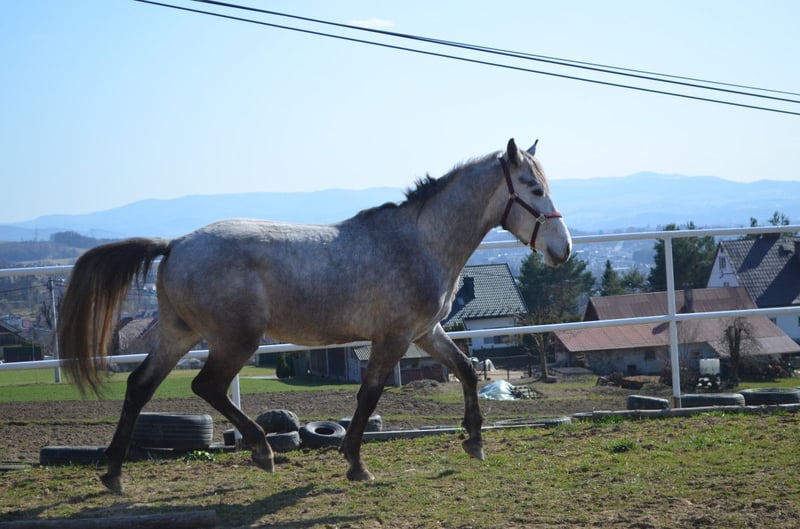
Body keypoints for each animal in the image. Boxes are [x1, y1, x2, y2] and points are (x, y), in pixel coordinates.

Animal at [57, 138, 572, 493]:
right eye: (534, 188)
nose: (562, 250)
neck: (421, 241)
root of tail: (176, 243)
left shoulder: (426, 332)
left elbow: (465, 368)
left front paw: (474, 442)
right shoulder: (395, 337)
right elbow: (369, 395)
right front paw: (356, 463)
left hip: (179, 334)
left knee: (140, 386)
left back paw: (114, 474)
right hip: (235, 340)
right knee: (207, 386)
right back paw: (262, 450)